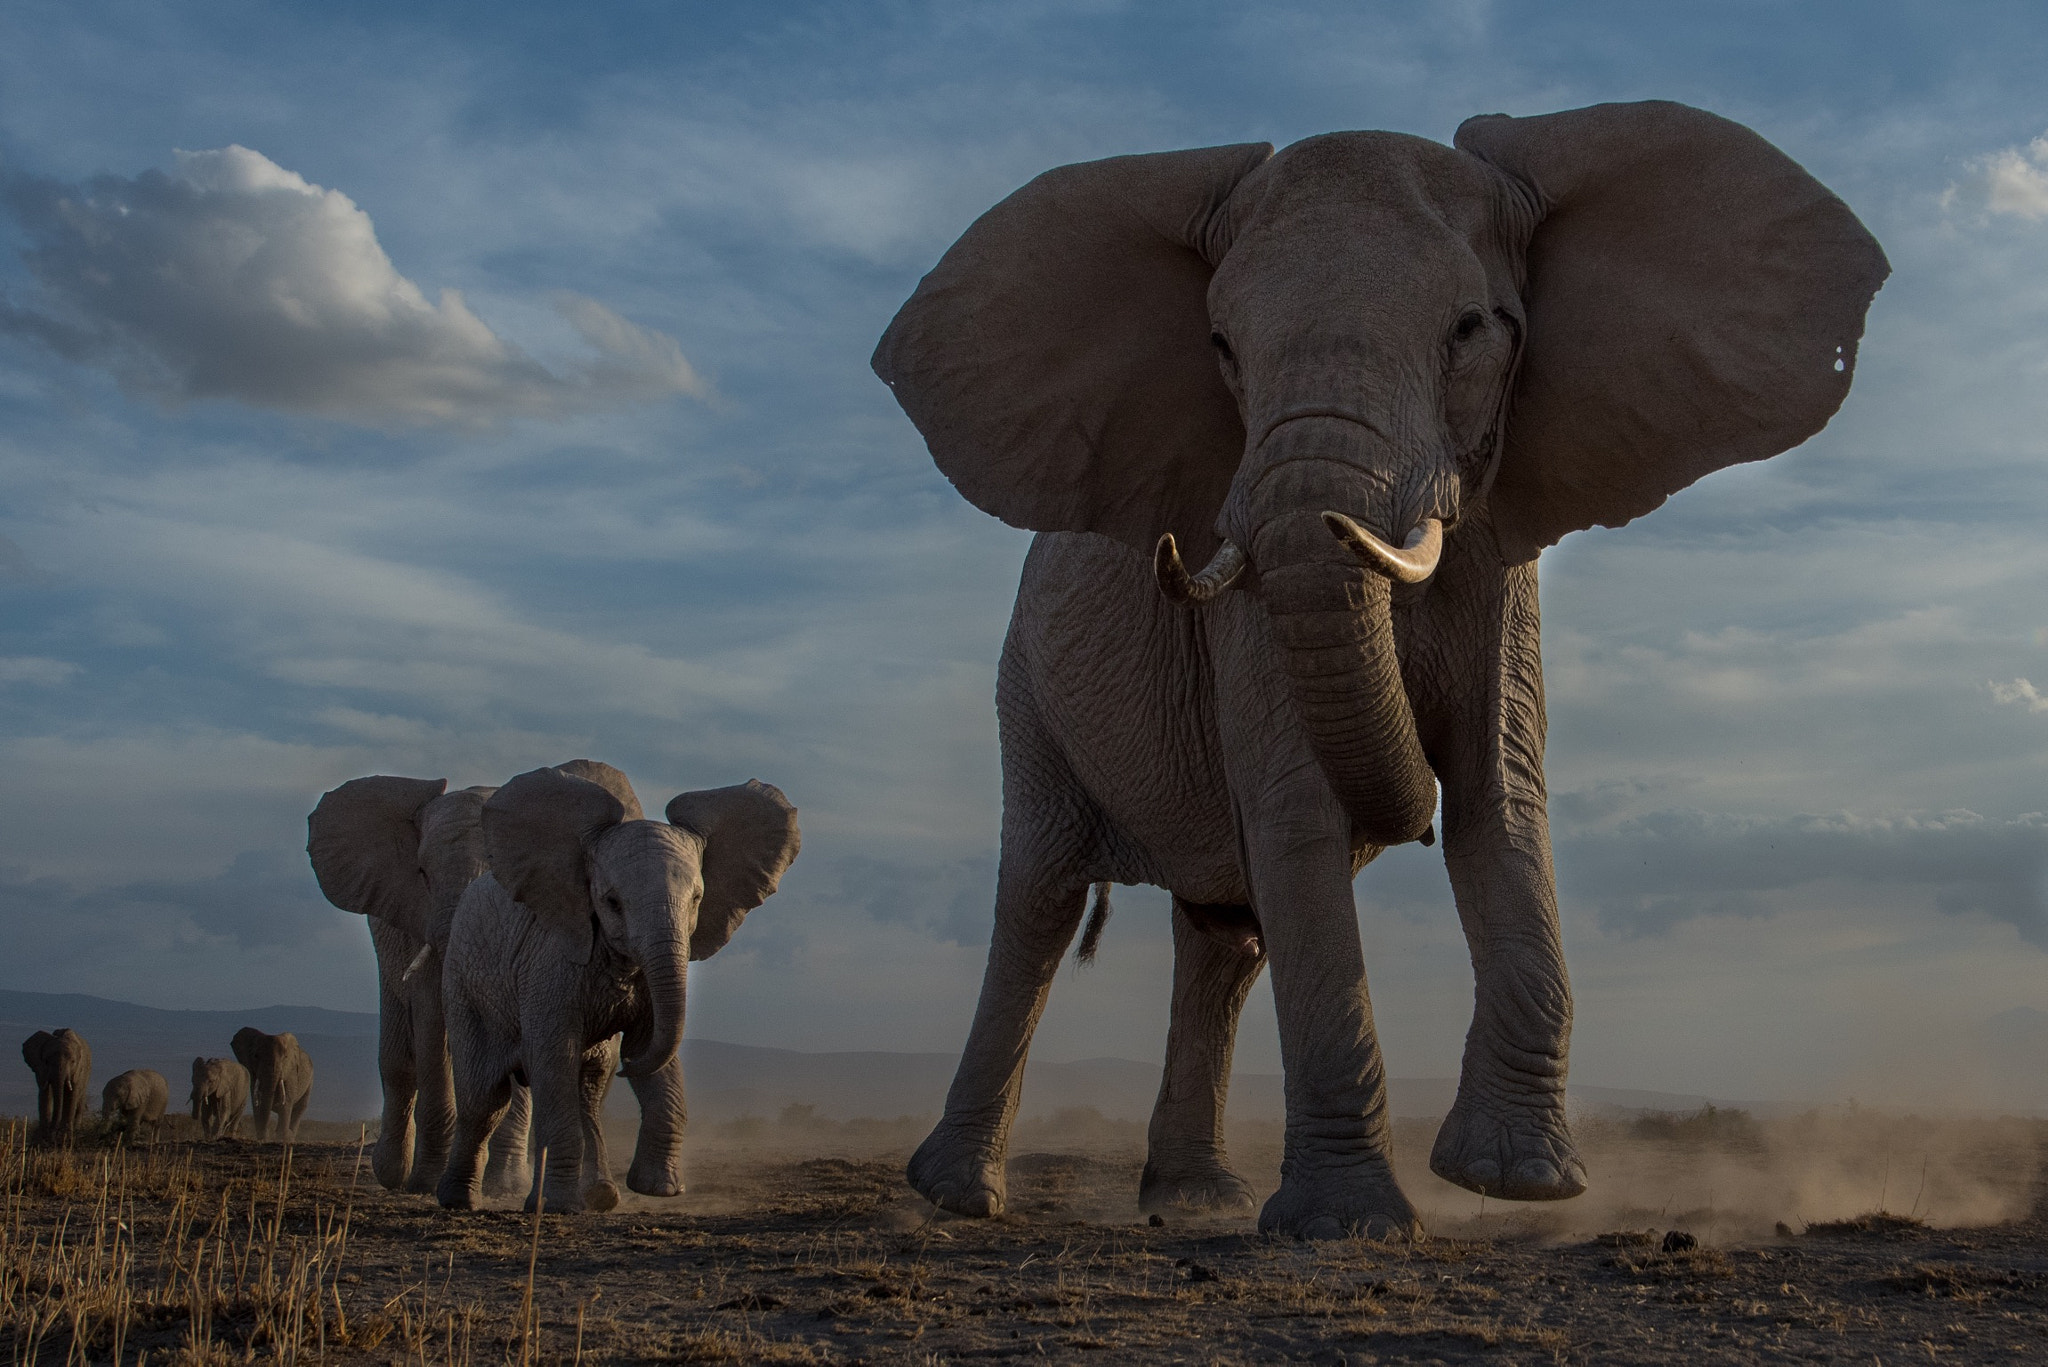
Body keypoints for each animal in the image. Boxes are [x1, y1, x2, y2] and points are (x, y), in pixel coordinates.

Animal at [308, 772, 534, 1195]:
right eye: (422, 874)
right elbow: (432, 1025)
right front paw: (426, 1183)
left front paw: (506, 1188)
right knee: (398, 1061)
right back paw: (392, 1173)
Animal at [438, 762, 800, 1213]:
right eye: (611, 903)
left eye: (697, 899)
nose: (628, 1064)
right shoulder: (548, 964)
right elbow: (553, 1056)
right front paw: (562, 1208)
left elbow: (653, 1047)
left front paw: (660, 1189)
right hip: (462, 987)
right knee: (485, 1097)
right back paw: (461, 1201)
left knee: (589, 1088)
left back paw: (597, 1196)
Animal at [871, 100, 1887, 1237]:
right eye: (1221, 347)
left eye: (1471, 329)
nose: (1413, 819)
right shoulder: (1245, 581)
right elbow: (1299, 808)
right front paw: (1347, 1225)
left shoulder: (1498, 552)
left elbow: (1501, 790)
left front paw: (1514, 1180)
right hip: (1026, 686)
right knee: (1042, 898)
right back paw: (961, 1195)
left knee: (1224, 936)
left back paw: (1194, 1199)